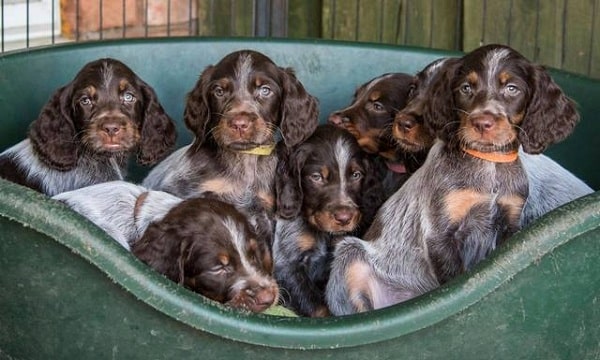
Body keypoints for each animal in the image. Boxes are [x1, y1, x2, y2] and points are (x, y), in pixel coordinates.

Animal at [326, 44, 584, 316]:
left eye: (512, 89)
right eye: (466, 88)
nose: (482, 122)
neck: (487, 163)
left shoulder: (510, 223)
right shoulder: (439, 234)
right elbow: (454, 284)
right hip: (350, 254)